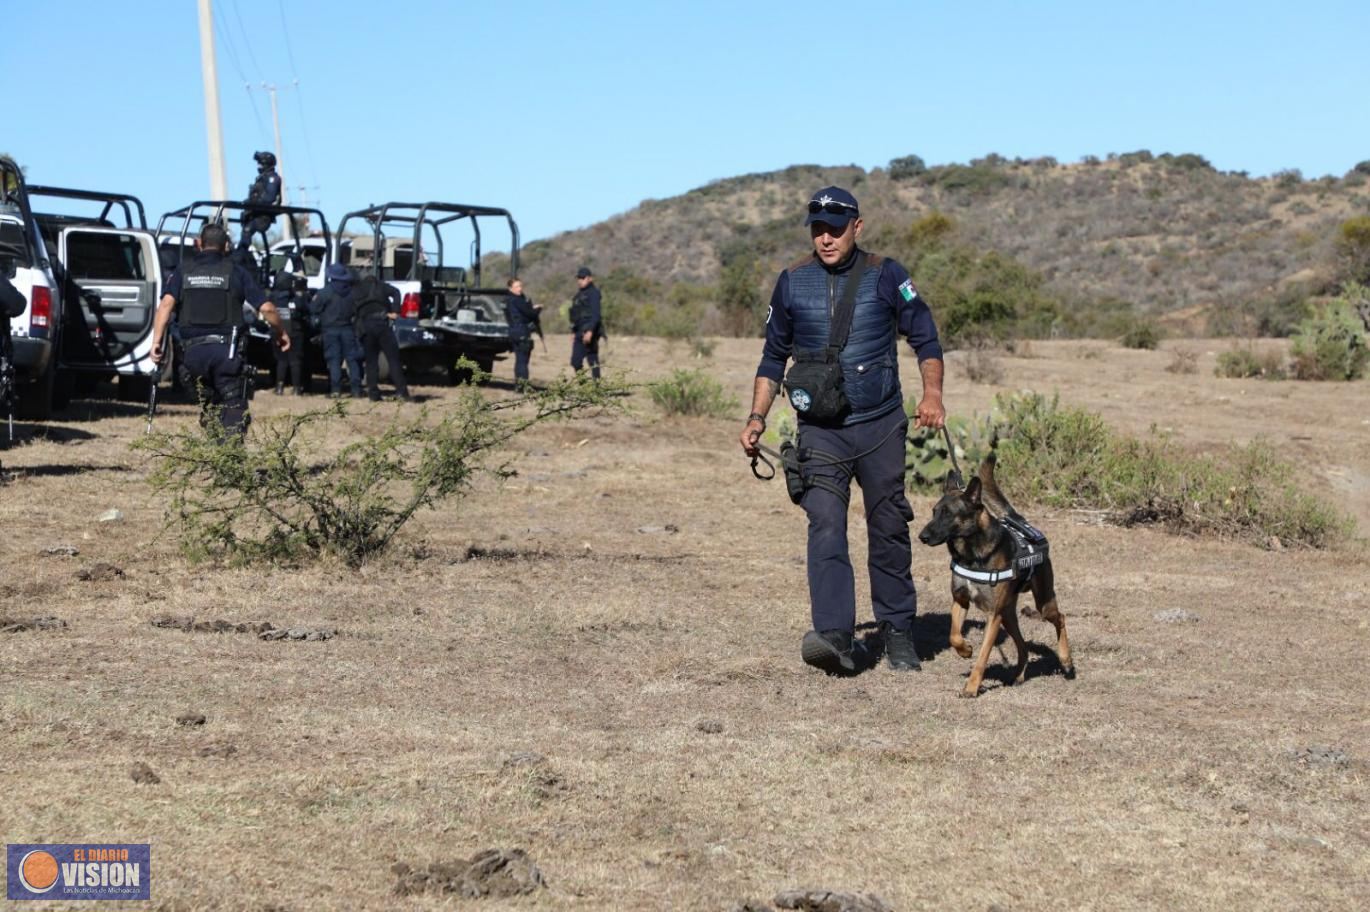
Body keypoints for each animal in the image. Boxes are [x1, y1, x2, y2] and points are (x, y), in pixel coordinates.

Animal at [915, 451, 1074, 695]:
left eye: (948, 514)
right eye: (934, 512)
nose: (922, 536)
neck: (972, 553)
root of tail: (1020, 520)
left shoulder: (992, 616)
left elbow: (983, 657)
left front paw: (972, 687)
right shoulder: (961, 601)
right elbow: (953, 636)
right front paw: (965, 650)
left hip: (1041, 604)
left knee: (1061, 618)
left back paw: (1066, 661)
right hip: (1007, 615)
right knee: (1022, 645)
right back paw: (1019, 675)